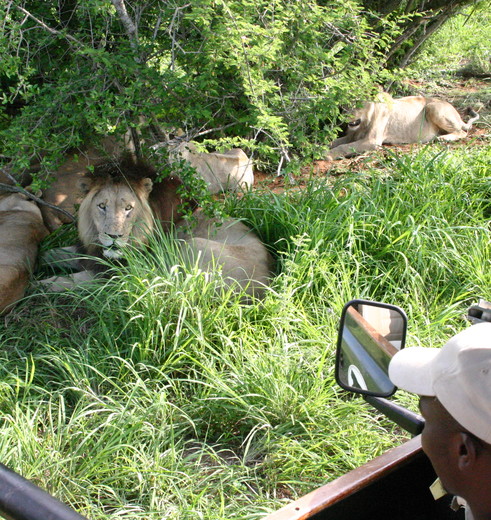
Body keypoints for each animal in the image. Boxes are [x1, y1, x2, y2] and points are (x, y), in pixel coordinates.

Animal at [40, 158, 272, 298]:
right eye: (102, 206)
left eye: (128, 208)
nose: (114, 236)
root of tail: (264, 288)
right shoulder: (89, 252)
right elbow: (52, 254)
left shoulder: (115, 274)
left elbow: (68, 281)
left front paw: (41, 284)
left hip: (192, 245)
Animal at [326, 92, 480, 159]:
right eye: (344, 104)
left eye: (358, 104)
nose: (342, 116)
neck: (363, 123)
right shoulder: (352, 135)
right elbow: (334, 142)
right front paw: (321, 149)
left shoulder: (371, 141)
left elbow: (343, 147)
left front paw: (327, 155)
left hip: (432, 107)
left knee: (462, 132)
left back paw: (443, 138)